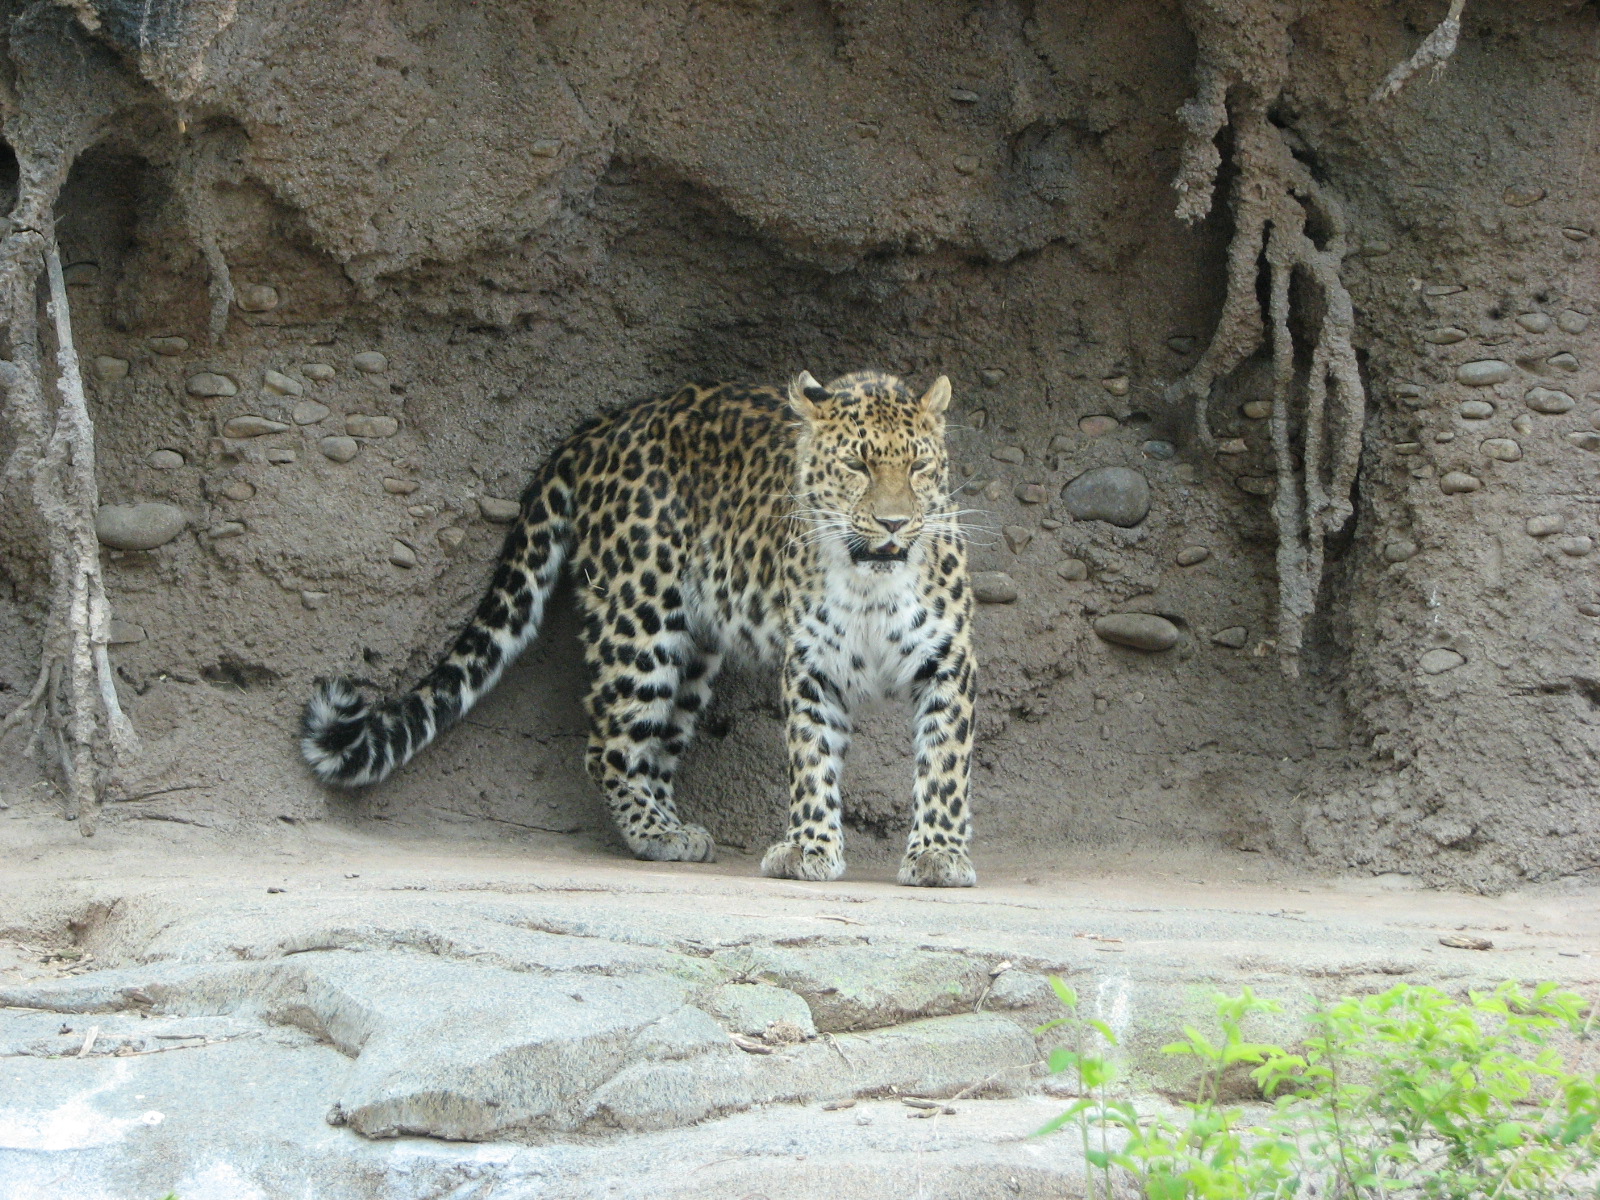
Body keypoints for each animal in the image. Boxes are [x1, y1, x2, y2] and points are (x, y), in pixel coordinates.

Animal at [301, 368, 978, 887]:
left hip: (694, 649)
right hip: (641, 621)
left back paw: (671, 828)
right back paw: (657, 835)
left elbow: (944, 766)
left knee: (656, 746)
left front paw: (939, 855)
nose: (893, 524)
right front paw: (810, 846)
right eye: (857, 466)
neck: (872, 584)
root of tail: (603, 426)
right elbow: (813, 760)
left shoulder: (949, 662)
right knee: (609, 747)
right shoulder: (811, 666)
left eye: (918, 467)